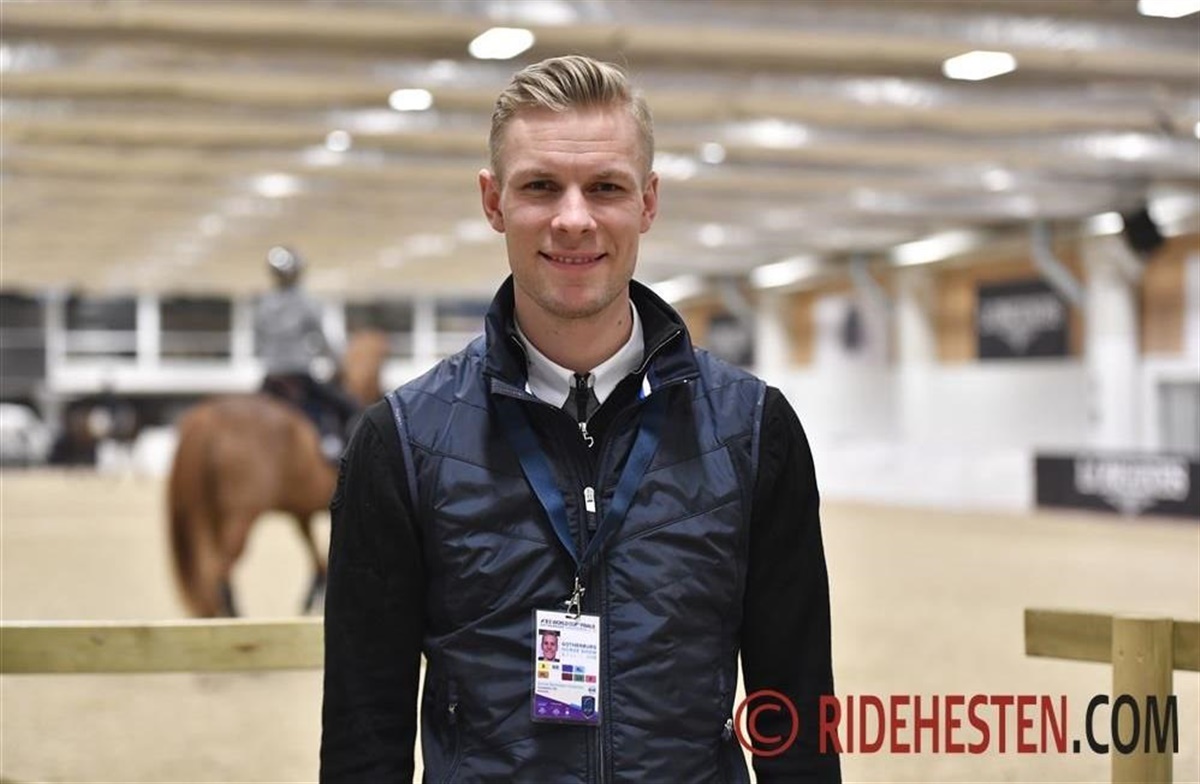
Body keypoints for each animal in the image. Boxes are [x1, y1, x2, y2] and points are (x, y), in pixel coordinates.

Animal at [167, 329, 390, 618]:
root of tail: (208, 417)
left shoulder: (303, 510)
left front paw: (312, 592)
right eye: (383, 363)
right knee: (217, 574)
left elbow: (312, 549)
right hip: (241, 517)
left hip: (205, 516)